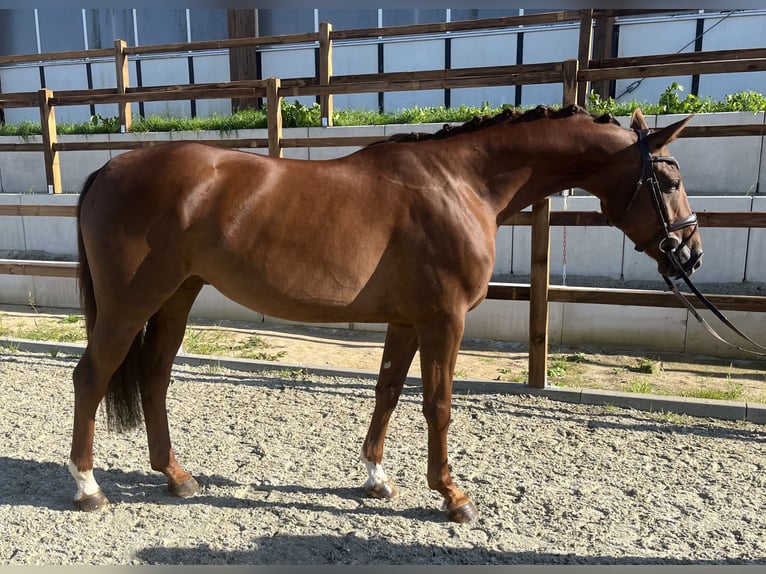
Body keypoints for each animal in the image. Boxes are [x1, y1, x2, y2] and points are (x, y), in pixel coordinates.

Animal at [69, 103, 704, 520]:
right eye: (669, 178)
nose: (690, 253)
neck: (461, 184)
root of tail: (108, 170)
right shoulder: (444, 320)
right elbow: (438, 405)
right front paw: (452, 496)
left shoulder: (406, 322)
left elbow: (388, 393)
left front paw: (376, 479)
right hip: (129, 304)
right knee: (92, 377)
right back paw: (89, 486)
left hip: (177, 295)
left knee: (154, 376)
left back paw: (176, 477)